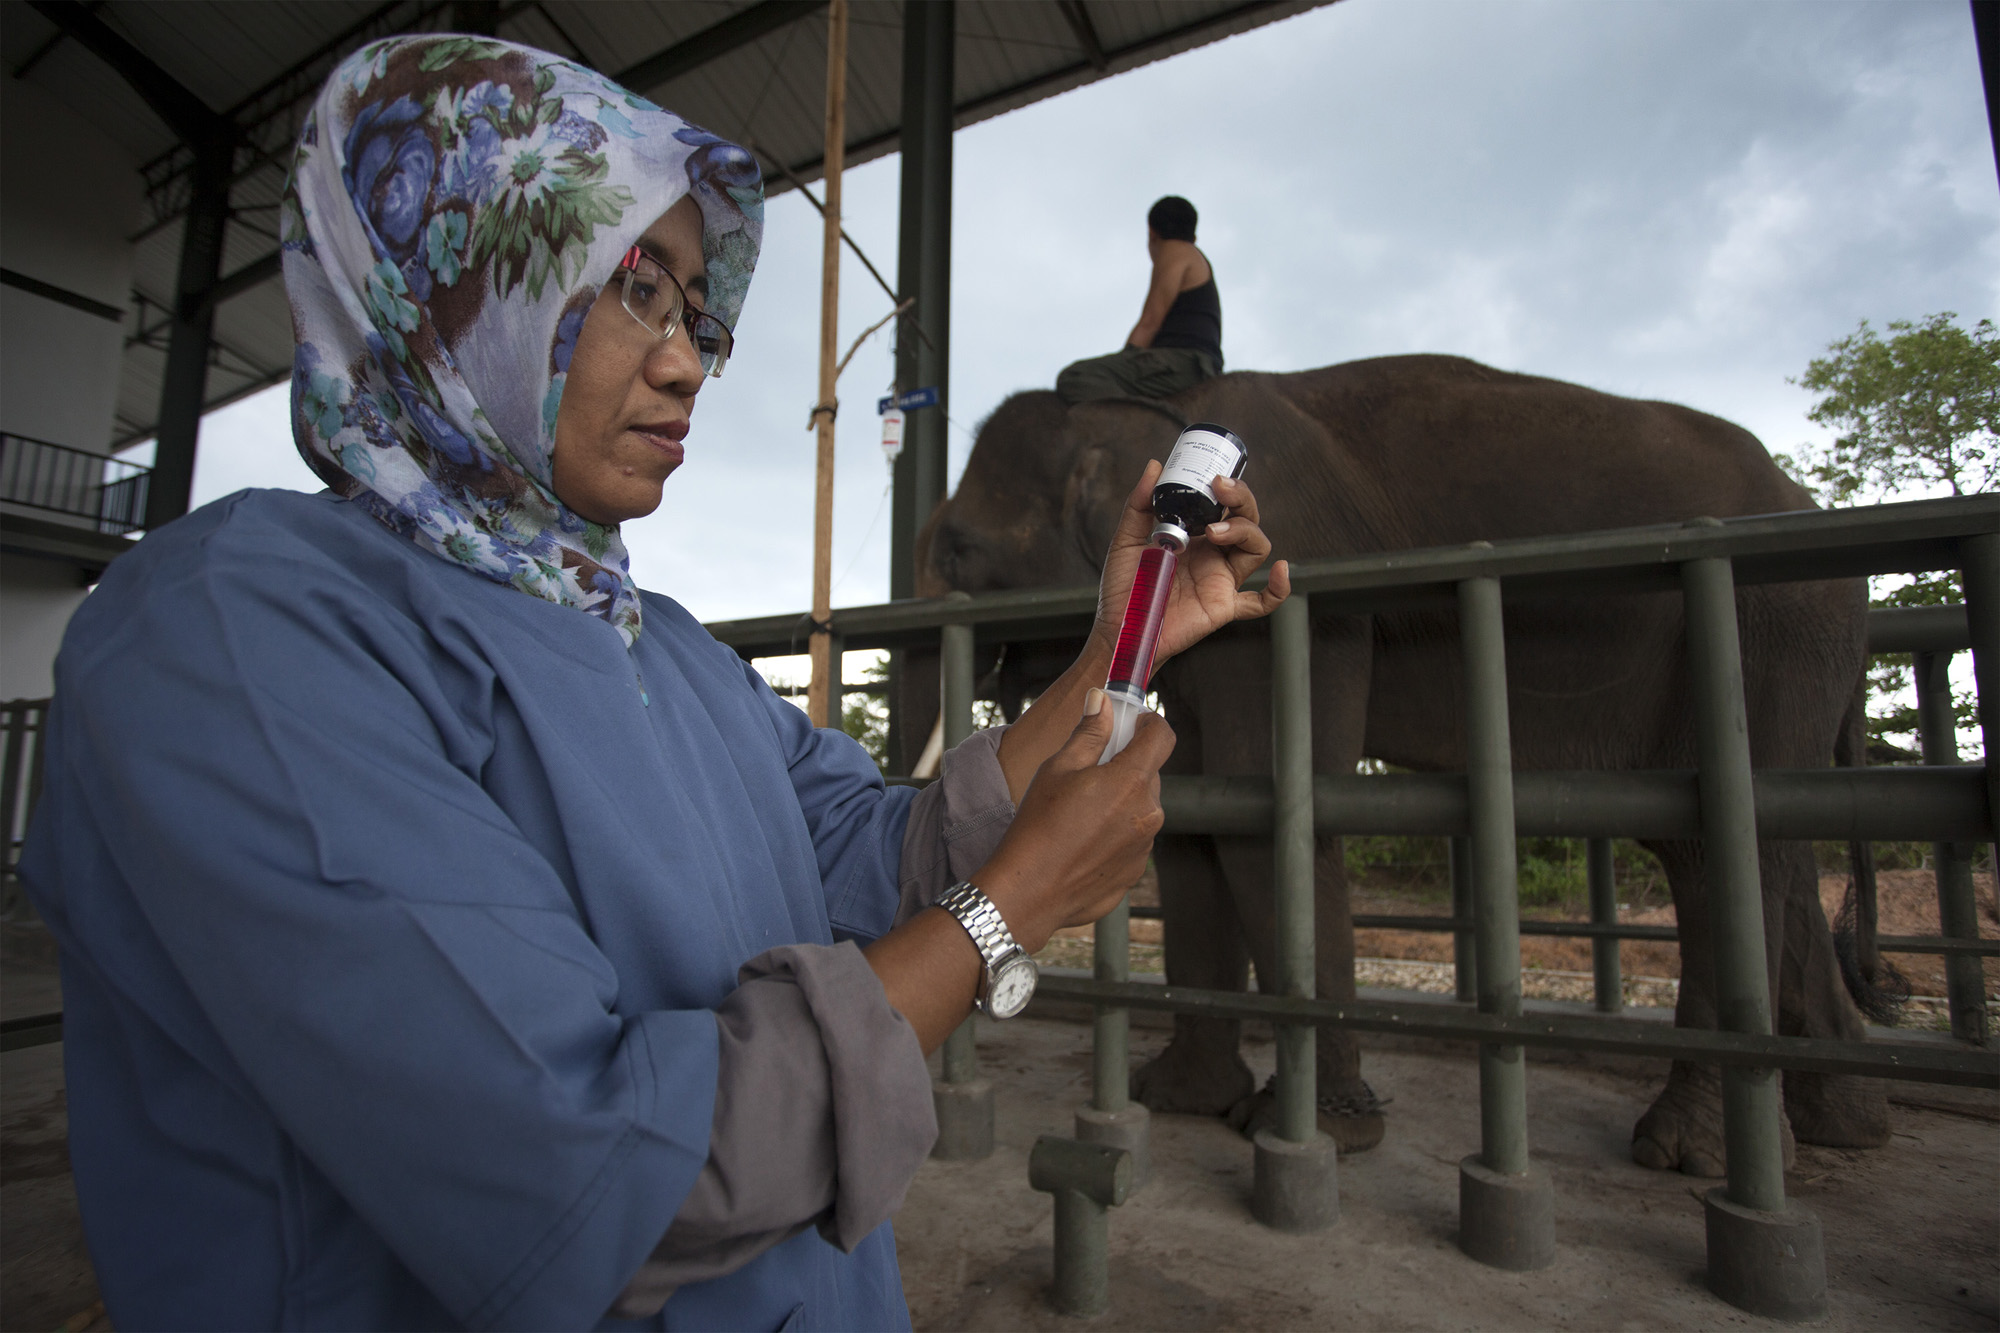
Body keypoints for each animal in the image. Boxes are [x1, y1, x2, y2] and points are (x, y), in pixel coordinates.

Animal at [908, 350, 1888, 1160]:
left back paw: (1689, 1152)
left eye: (959, 548)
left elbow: (1260, 810)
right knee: (1769, 845)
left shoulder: (1302, 601)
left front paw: (1315, 1133)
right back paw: (1842, 1128)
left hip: (1771, 624)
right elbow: (1189, 817)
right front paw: (1181, 1100)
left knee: (1713, 844)